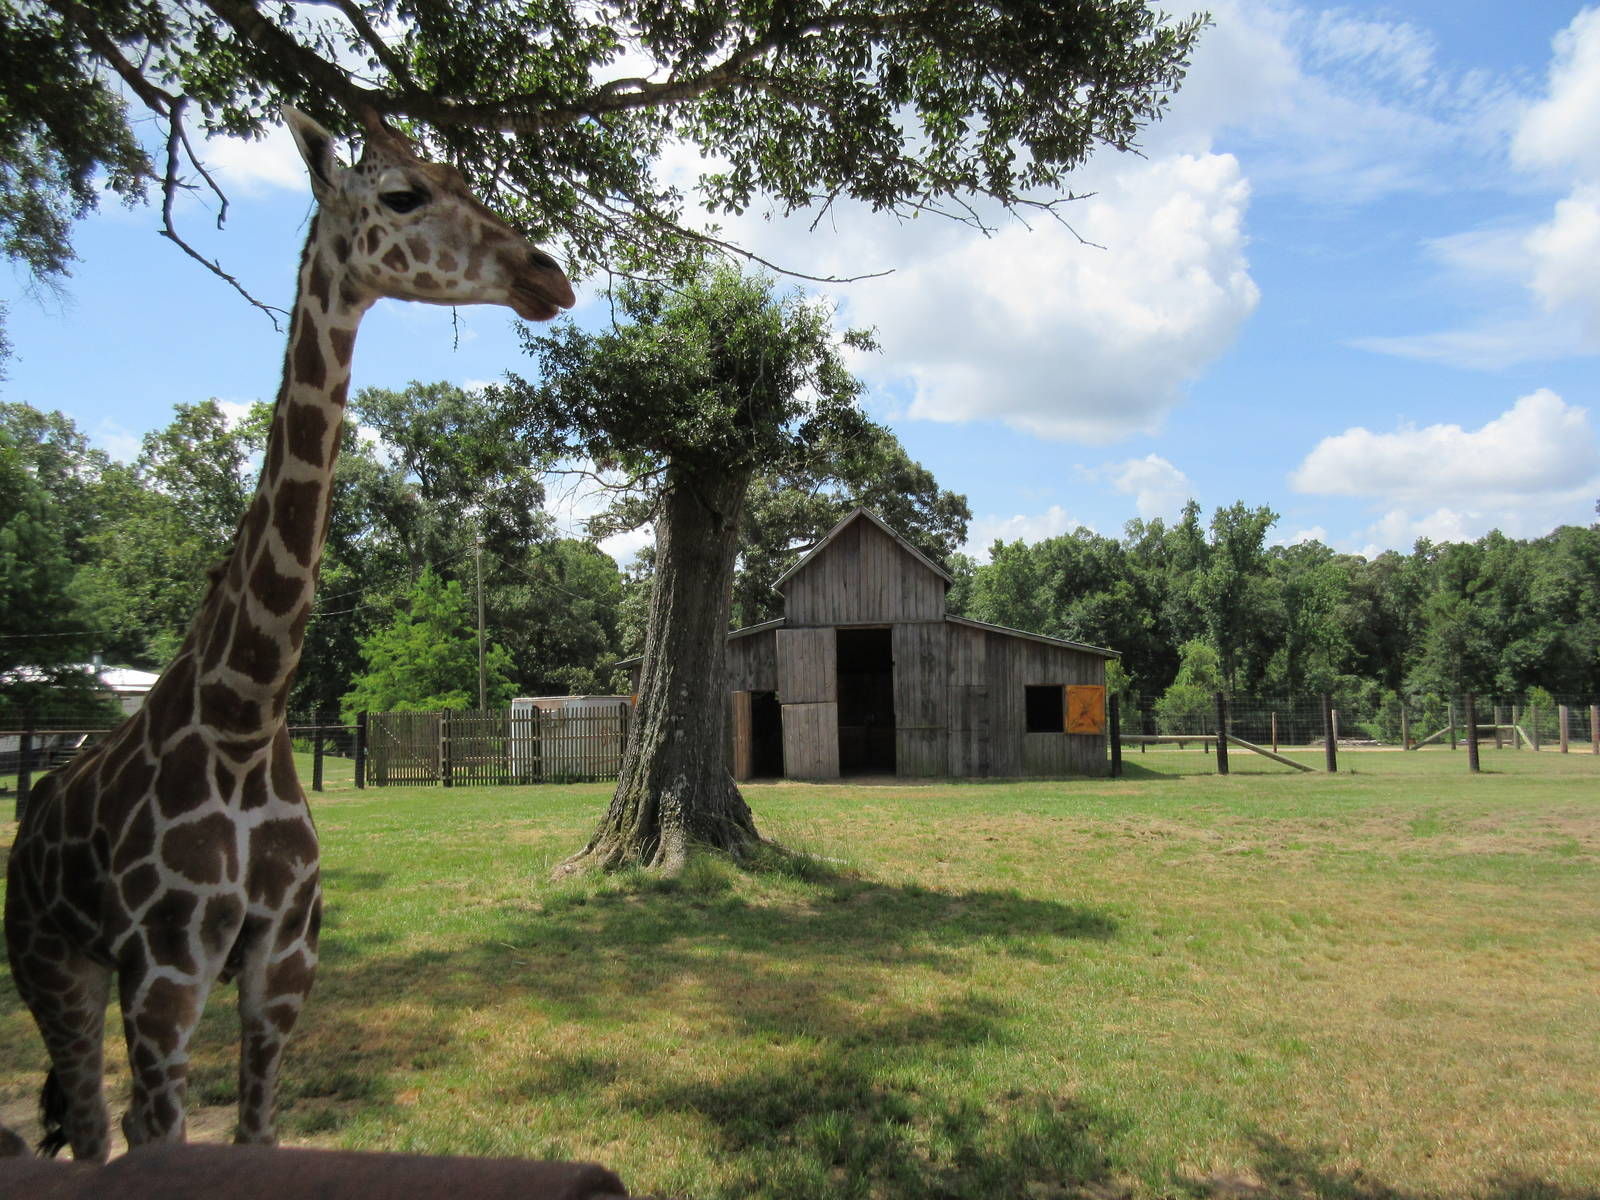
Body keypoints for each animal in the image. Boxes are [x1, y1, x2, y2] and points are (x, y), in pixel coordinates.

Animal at [4, 107, 574, 1161]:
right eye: (402, 195)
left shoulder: (283, 969)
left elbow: (256, 1136)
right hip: (50, 964)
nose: (547, 276)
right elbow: (159, 1136)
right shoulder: (167, 982)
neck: (245, 710)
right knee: (94, 1122)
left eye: (464, 175)